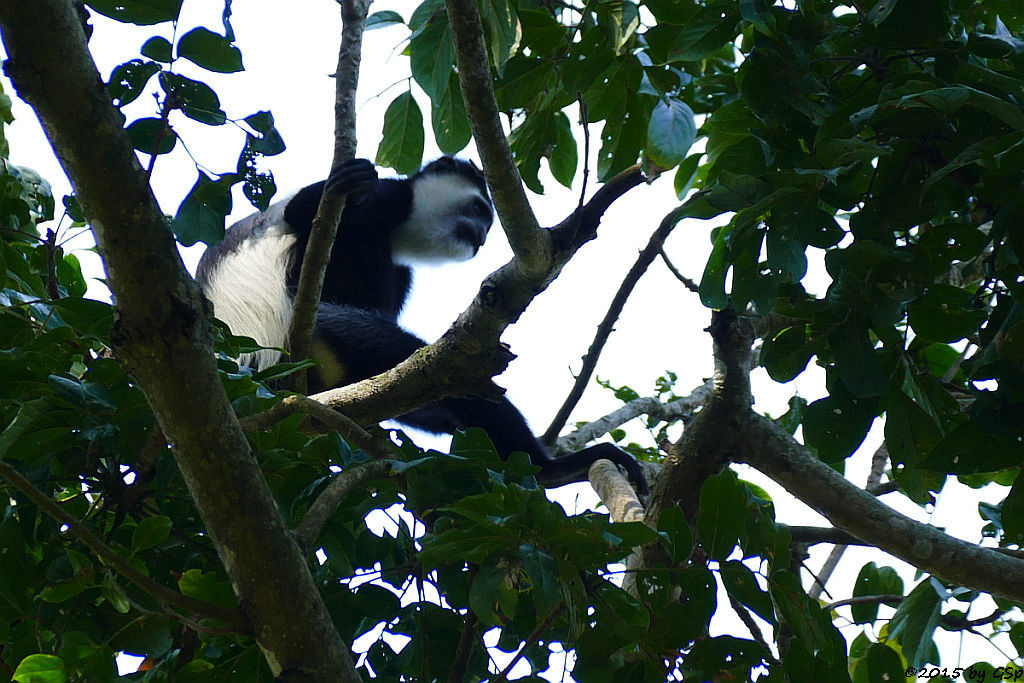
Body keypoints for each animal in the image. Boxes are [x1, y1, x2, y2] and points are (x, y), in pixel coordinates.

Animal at [197, 157, 647, 493]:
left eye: (487, 222)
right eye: (479, 210)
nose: (481, 236)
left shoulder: (399, 269)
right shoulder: (385, 200)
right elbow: (308, 211)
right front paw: (347, 182)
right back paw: (547, 467)